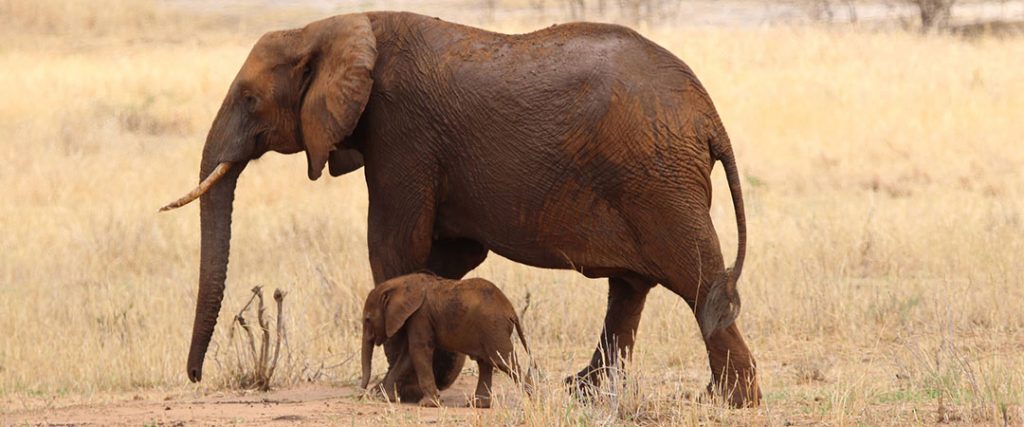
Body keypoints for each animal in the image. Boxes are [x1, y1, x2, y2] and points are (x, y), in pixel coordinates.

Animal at [358, 272, 532, 405]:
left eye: (368, 319)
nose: (361, 395)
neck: (400, 283)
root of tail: (511, 310)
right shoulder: (416, 318)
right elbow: (407, 356)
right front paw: (387, 398)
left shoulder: (420, 315)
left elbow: (418, 350)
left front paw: (428, 404)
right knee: (485, 363)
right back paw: (477, 405)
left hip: (494, 328)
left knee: (503, 361)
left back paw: (531, 398)